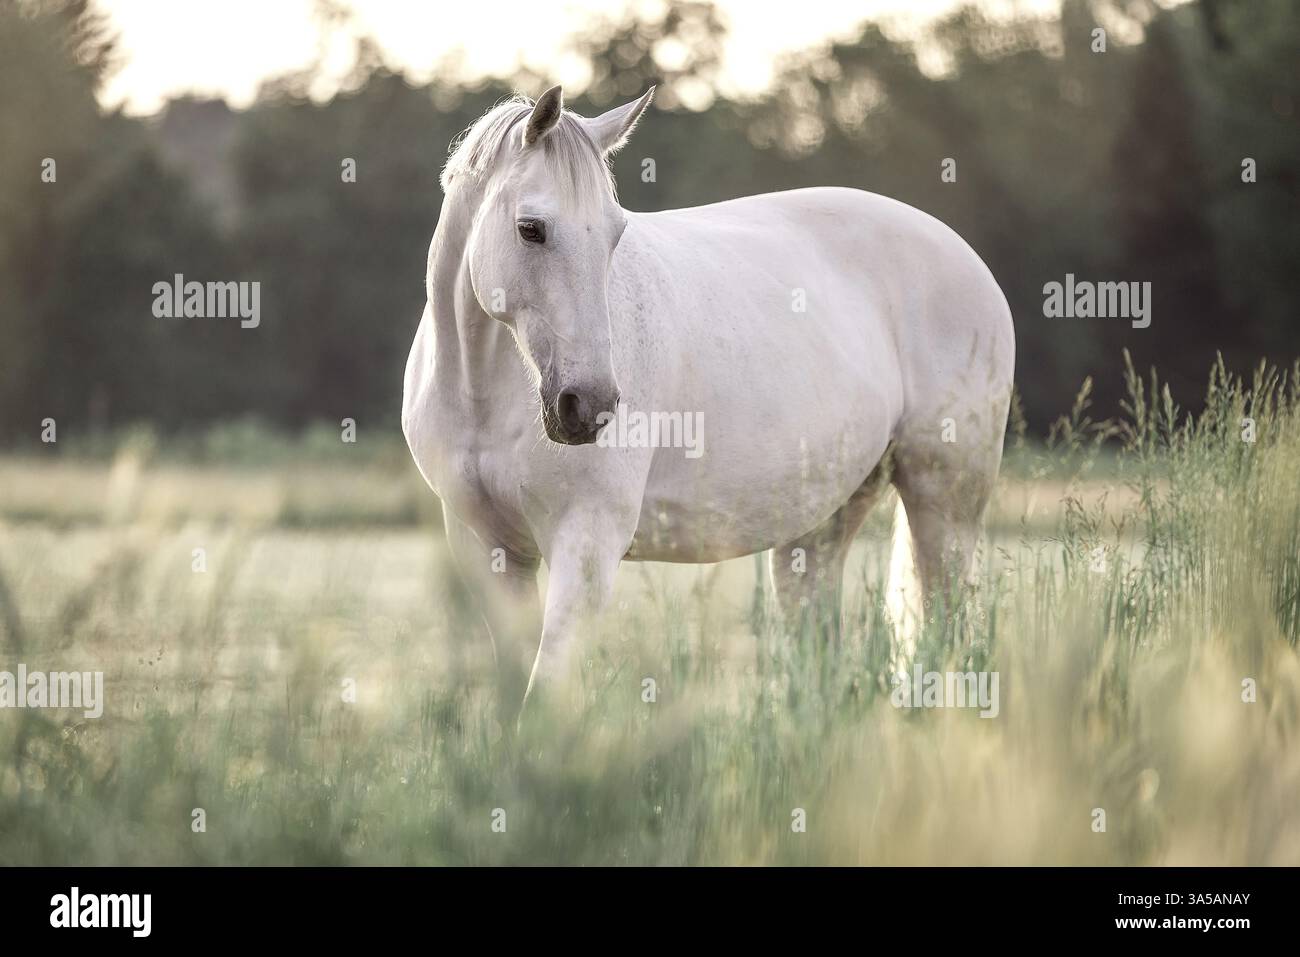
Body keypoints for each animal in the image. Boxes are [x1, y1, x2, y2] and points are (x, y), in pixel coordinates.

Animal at [401, 86, 1015, 708]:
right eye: (531, 229)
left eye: (615, 234)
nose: (589, 404)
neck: (482, 390)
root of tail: (965, 257)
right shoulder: (490, 550)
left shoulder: (586, 547)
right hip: (821, 523)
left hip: (945, 504)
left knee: (947, 627)